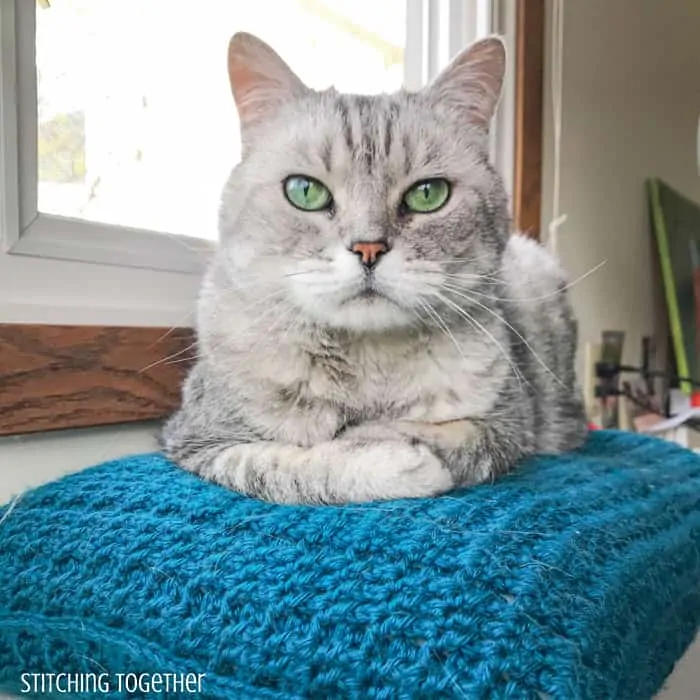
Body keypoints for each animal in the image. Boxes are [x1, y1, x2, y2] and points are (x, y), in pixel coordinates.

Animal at [160, 32, 584, 504]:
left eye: (428, 194)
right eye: (304, 191)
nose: (368, 248)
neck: (368, 365)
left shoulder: (509, 422)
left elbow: (448, 437)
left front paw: (391, 441)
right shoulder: (200, 440)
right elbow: (293, 465)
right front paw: (392, 460)